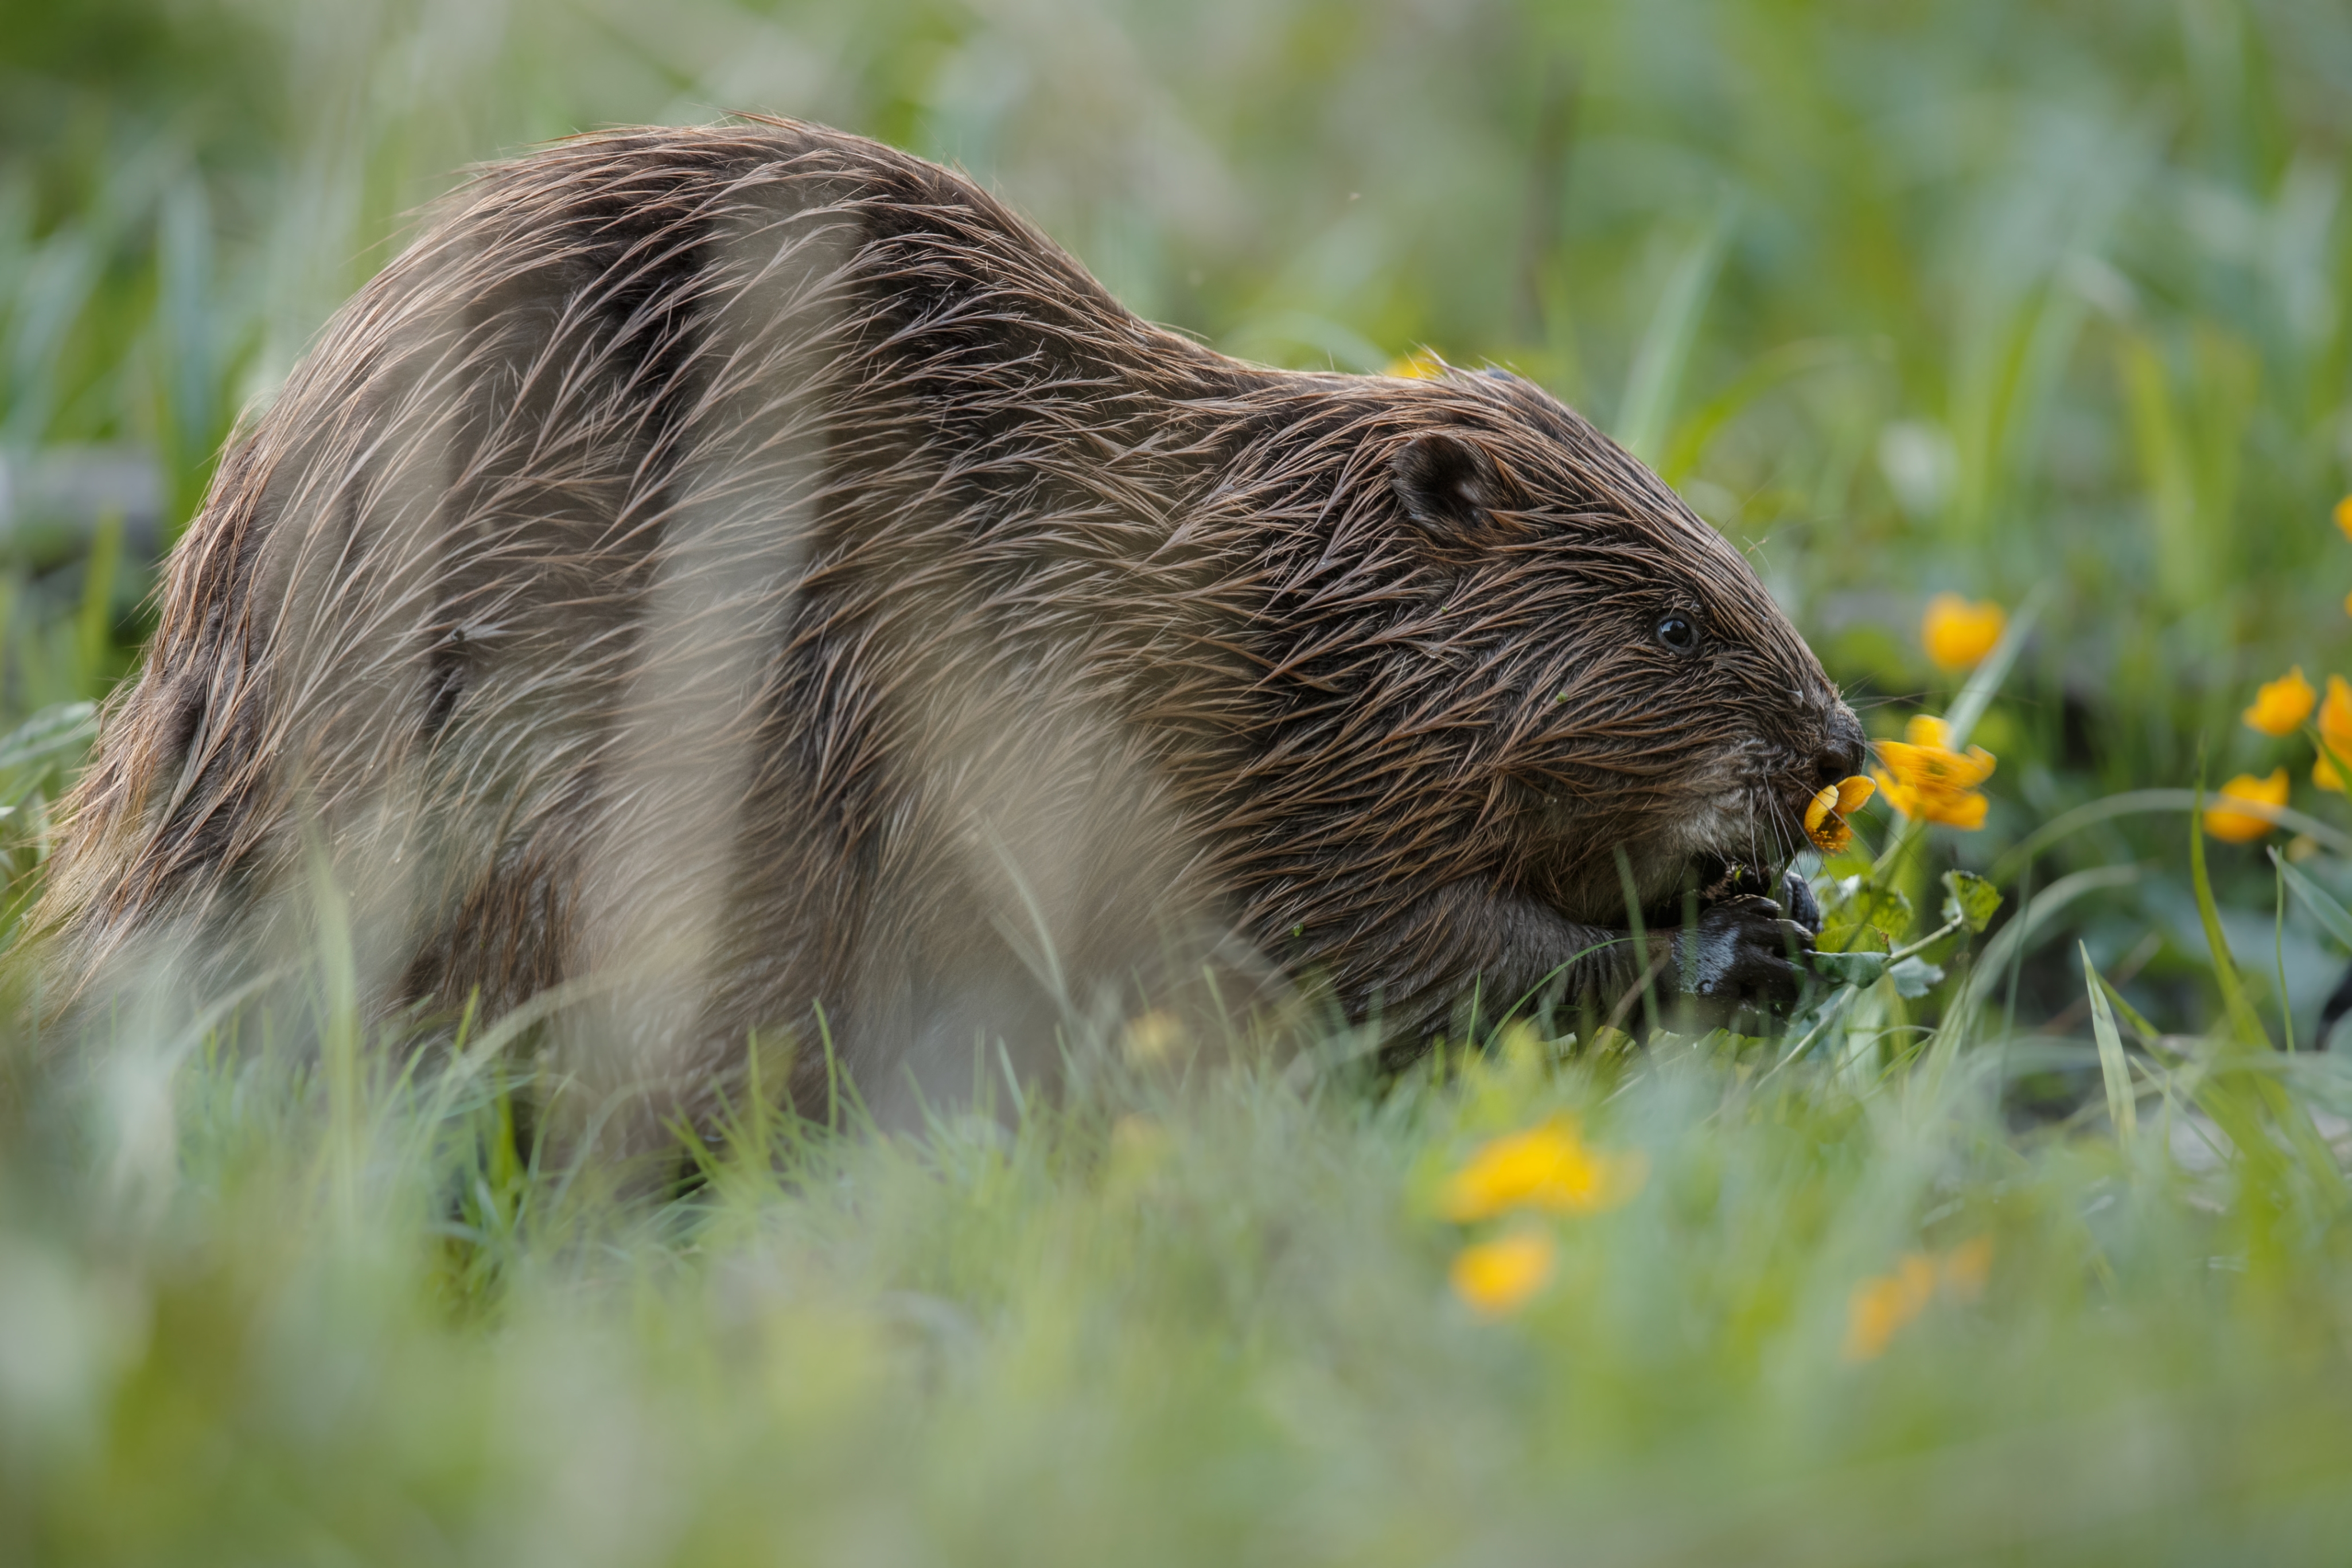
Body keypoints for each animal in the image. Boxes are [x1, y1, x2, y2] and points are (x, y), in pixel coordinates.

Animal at [37, 113, 1863, 1142]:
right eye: (1671, 621)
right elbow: (1385, 951)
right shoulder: (1208, 759)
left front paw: (1781, 901)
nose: (1840, 746)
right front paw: (1730, 949)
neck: (1245, 586)